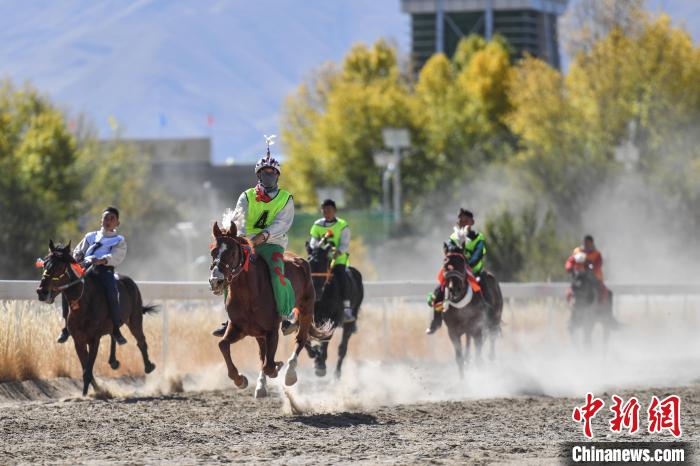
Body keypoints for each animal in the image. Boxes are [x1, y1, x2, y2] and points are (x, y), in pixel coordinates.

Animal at [36, 241, 157, 396]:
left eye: (60, 266)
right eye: (45, 263)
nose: (42, 292)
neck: (84, 303)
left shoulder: (94, 339)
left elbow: (88, 369)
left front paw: (89, 393)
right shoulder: (78, 340)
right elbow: (85, 367)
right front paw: (94, 390)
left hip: (135, 319)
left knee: (141, 341)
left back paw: (149, 366)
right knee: (114, 335)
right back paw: (114, 360)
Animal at [208, 221, 333, 398]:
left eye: (232, 252)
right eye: (213, 252)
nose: (216, 281)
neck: (249, 295)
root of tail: (300, 260)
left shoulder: (272, 330)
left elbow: (269, 364)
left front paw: (277, 367)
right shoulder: (238, 327)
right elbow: (223, 344)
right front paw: (240, 379)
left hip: (306, 310)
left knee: (300, 340)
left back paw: (290, 373)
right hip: (258, 333)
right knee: (262, 354)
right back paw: (261, 385)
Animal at [303, 238, 364, 378]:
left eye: (324, 263)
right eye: (309, 261)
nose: (316, 291)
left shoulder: (332, 318)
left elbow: (325, 339)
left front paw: (320, 365)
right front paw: (314, 353)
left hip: (350, 321)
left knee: (342, 348)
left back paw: (336, 375)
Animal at [441, 243, 503, 379]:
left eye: (461, 263)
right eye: (445, 264)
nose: (454, 289)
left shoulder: (477, 328)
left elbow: (478, 356)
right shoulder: (453, 332)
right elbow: (459, 357)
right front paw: (463, 380)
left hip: (495, 318)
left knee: (492, 337)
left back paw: (490, 357)